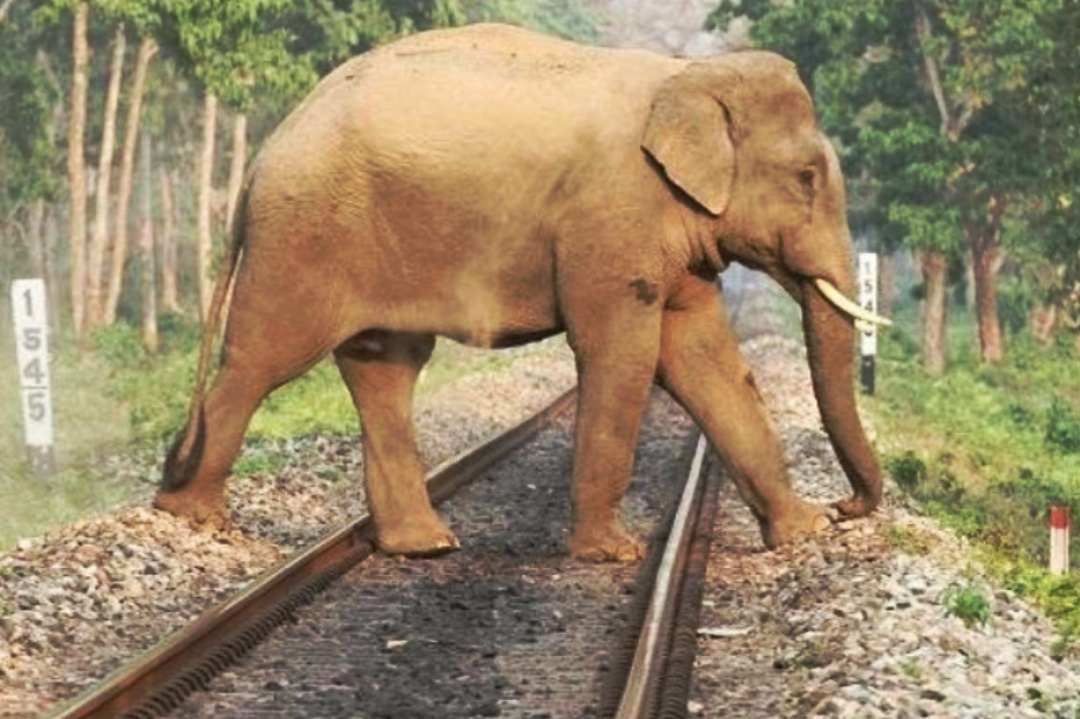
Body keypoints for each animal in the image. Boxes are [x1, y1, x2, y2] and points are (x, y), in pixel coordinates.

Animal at [155, 23, 888, 562]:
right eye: (806, 178)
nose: (845, 508)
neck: (683, 75)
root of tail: (264, 155)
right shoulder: (612, 214)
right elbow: (622, 355)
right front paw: (610, 554)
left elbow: (704, 358)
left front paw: (800, 533)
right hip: (303, 236)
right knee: (262, 360)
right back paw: (192, 517)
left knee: (384, 369)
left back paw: (424, 546)